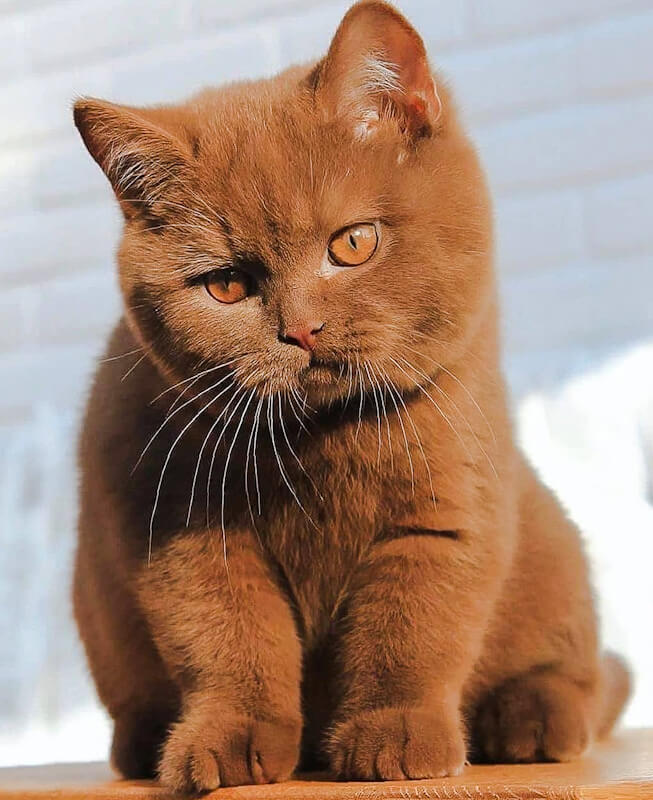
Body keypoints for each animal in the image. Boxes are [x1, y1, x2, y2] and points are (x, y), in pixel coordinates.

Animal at [71, 0, 628, 788]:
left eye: (354, 244)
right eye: (227, 285)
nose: (300, 329)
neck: (321, 437)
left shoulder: (445, 507)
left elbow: (410, 628)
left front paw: (393, 734)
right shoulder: (180, 529)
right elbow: (228, 639)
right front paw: (230, 738)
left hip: (552, 547)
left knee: (582, 673)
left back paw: (530, 718)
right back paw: (143, 741)